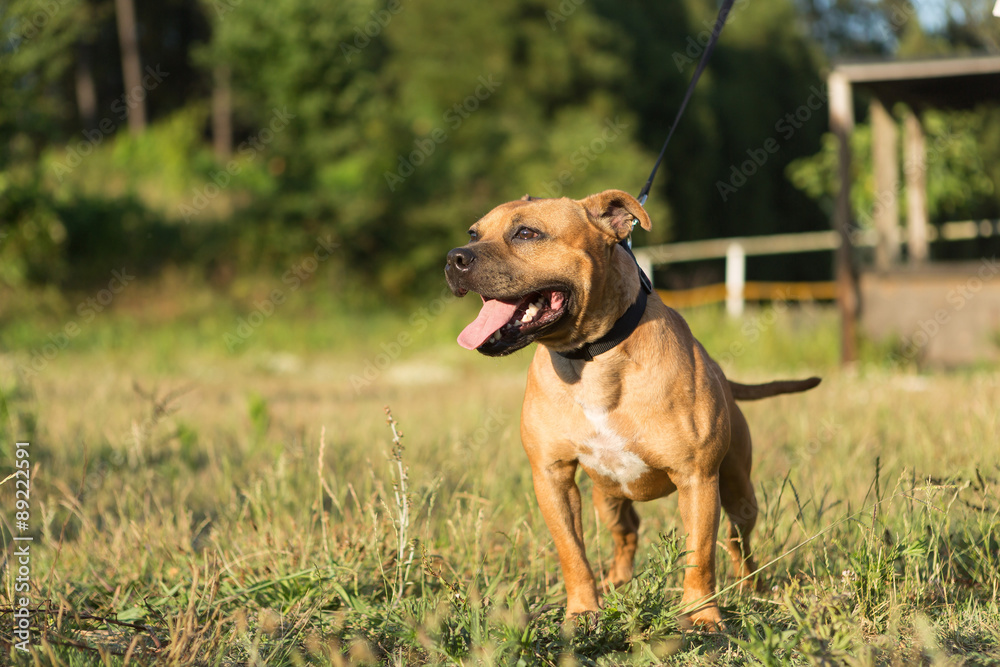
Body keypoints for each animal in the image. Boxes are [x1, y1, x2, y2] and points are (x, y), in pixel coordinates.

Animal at [446, 190, 820, 628]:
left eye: (526, 233)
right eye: (473, 233)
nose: (455, 257)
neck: (593, 357)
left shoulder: (697, 479)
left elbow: (700, 555)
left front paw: (701, 616)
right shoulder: (552, 477)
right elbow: (572, 553)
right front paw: (582, 611)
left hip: (738, 489)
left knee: (736, 541)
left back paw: (751, 588)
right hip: (606, 495)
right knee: (627, 531)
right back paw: (616, 583)